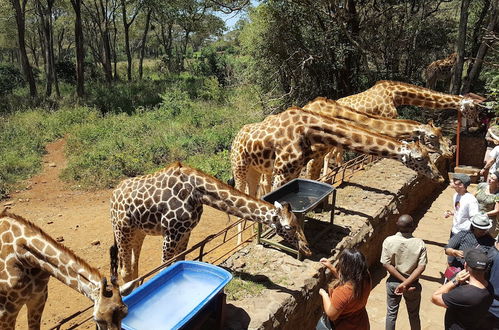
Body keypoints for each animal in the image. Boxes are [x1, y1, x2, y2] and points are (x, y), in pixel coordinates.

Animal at [111, 161, 310, 282]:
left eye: (298, 223)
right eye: (289, 227)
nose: (308, 249)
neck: (196, 192)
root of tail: (114, 195)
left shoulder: (185, 231)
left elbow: (179, 261)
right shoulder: (170, 232)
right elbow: (163, 269)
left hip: (139, 231)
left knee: (133, 267)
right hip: (122, 229)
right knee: (124, 271)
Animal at [230, 107, 446, 199]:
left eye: (428, 155)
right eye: (420, 158)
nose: (440, 177)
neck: (309, 129)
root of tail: (237, 135)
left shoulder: (296, 169)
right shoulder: (283, 170)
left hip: (257, 168)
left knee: (254, 190)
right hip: (239, 166)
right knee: (242, 191)